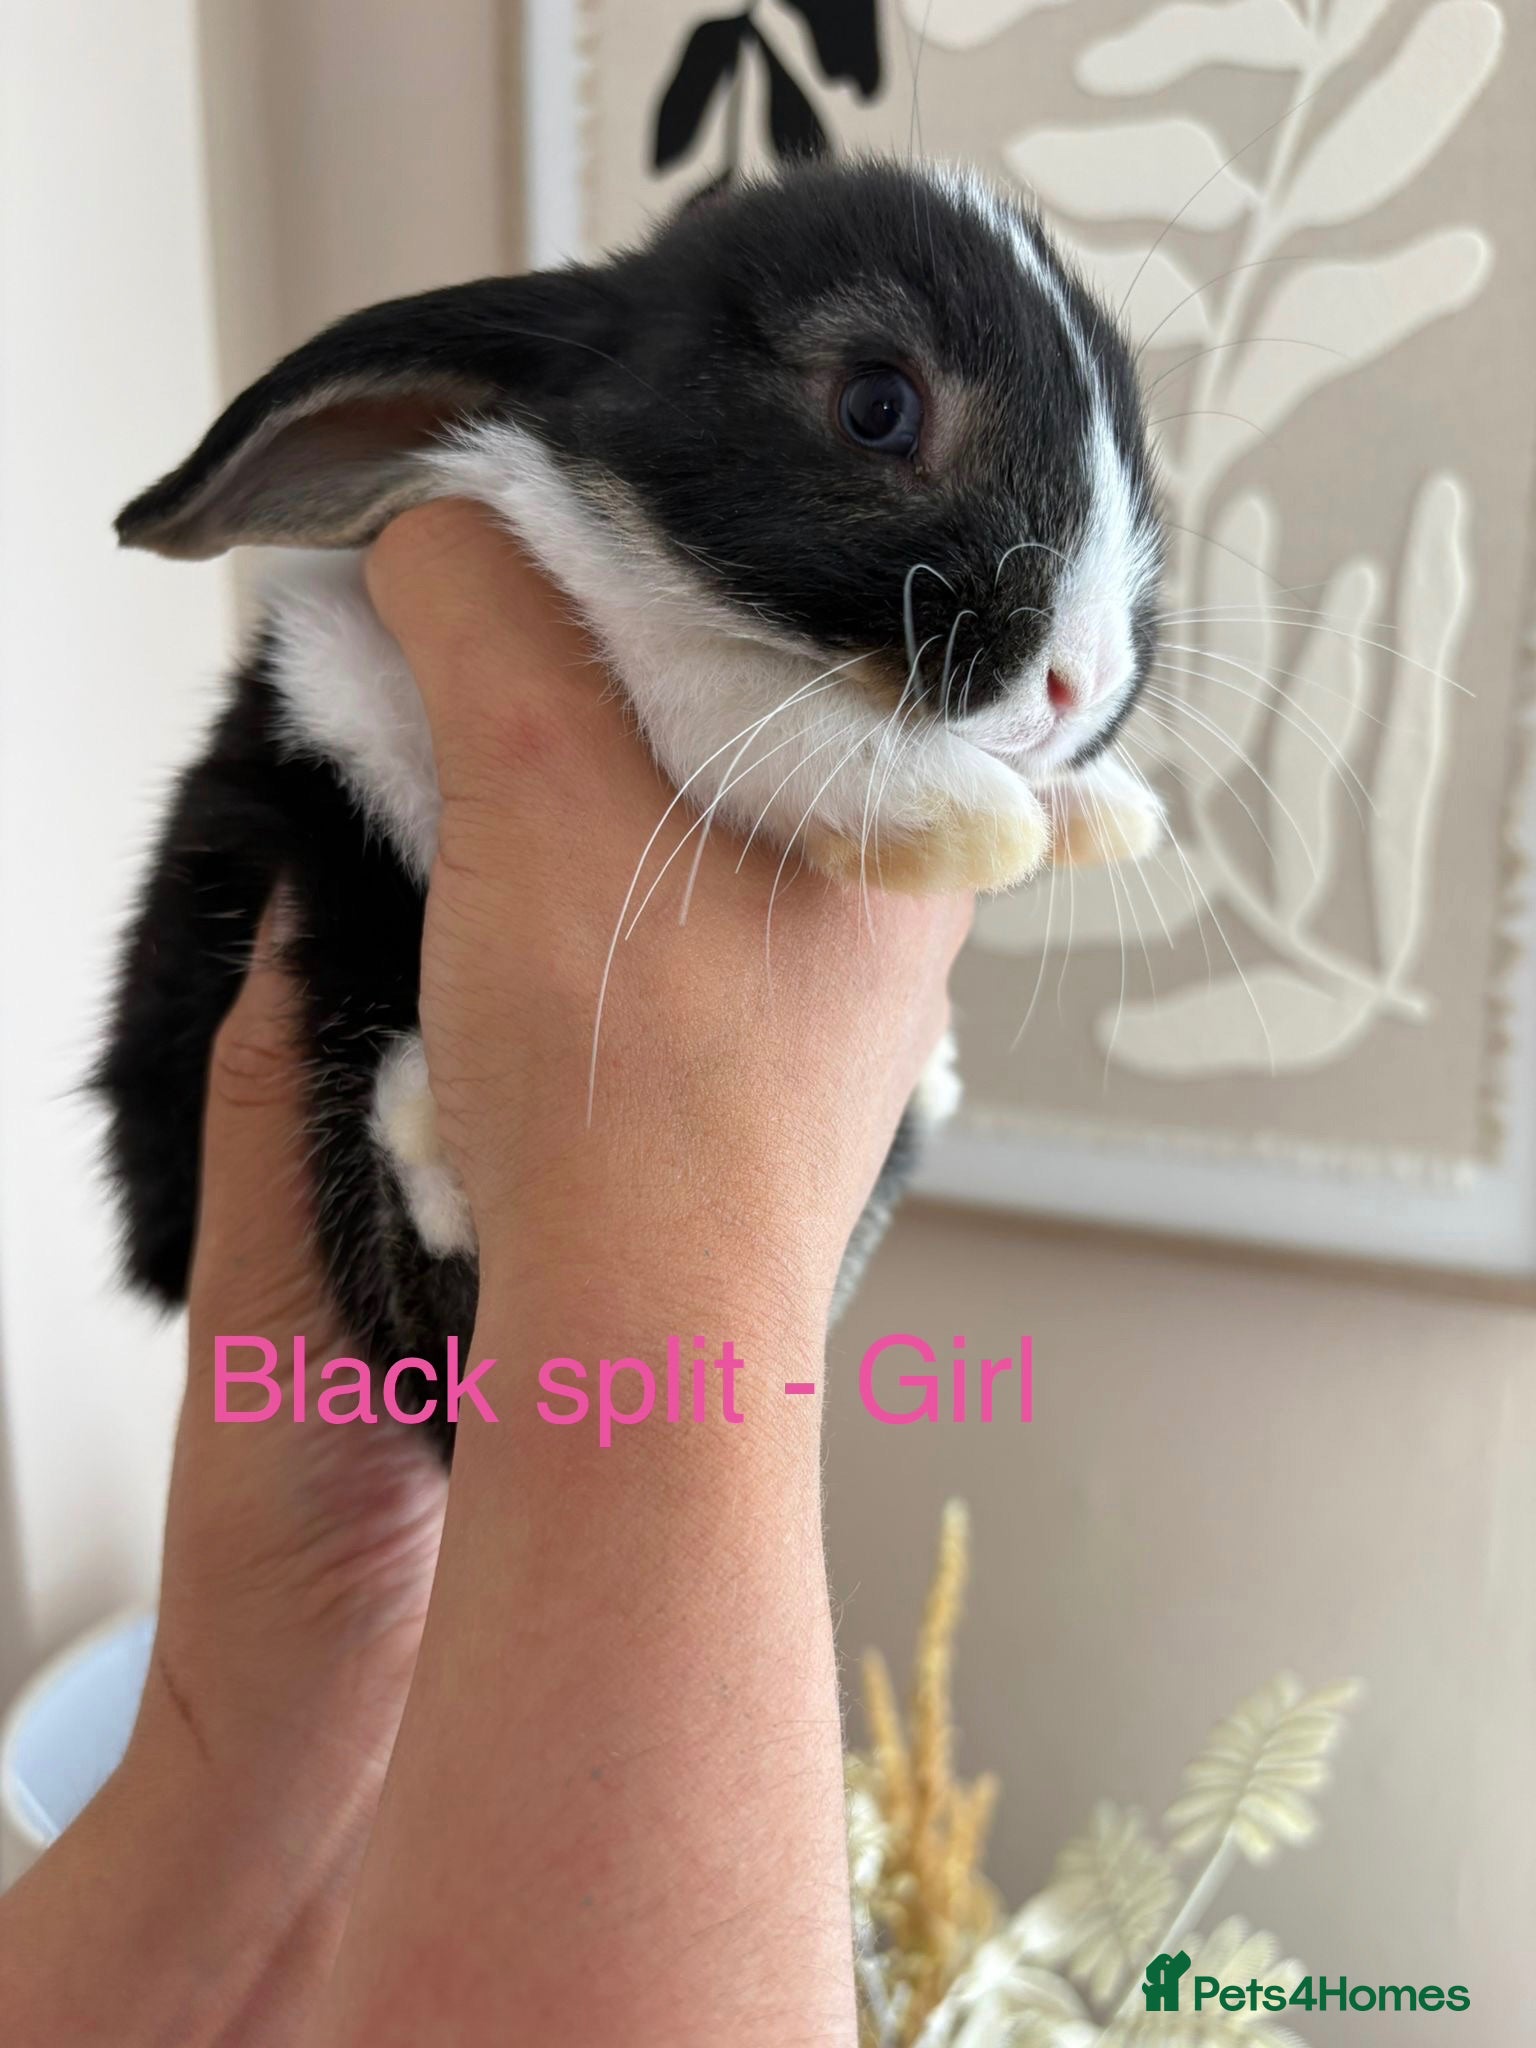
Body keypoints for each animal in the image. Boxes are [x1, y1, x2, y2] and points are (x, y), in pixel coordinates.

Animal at [99, 157, 1166, 1457]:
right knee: (420, 1307)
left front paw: (1103, 807)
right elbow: (713, 689)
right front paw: (965, 814)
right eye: (877, 405)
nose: (1080, 684)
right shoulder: (544, 602)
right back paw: (426, 1133)